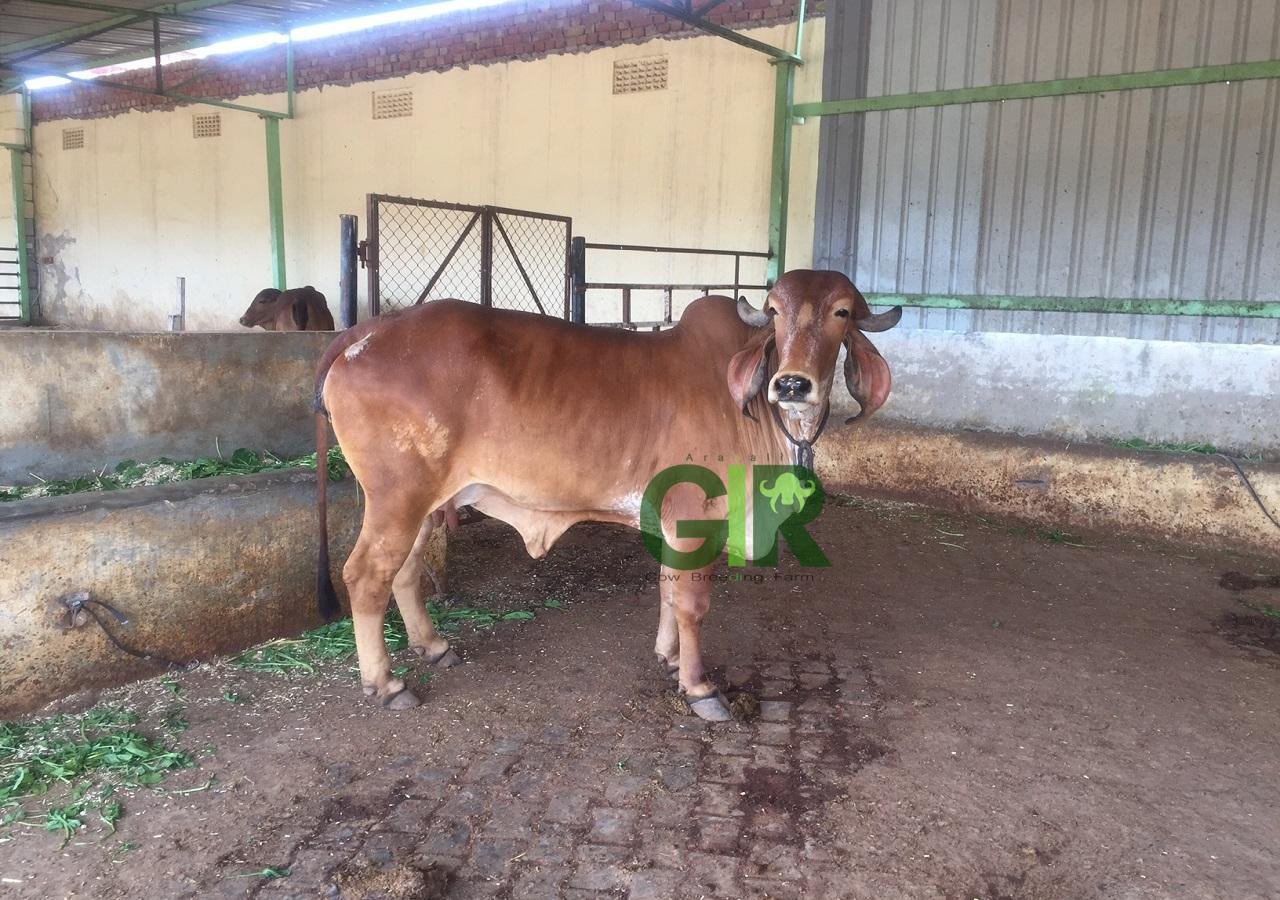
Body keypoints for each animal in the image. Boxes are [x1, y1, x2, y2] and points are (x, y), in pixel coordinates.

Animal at [313, 270, 900, 720]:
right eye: (775, 311)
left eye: (841, 312)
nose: (792, 384)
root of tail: (370, 330)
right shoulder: (695, 513)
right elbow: (691, 603)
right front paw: (699, 687)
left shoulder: (671, 518)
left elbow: (667, 589)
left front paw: (668, 658)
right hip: (397, 496)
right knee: (365, 576)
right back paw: (386, 684)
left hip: (423, 502)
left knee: (405, 570)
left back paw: (434, 647)